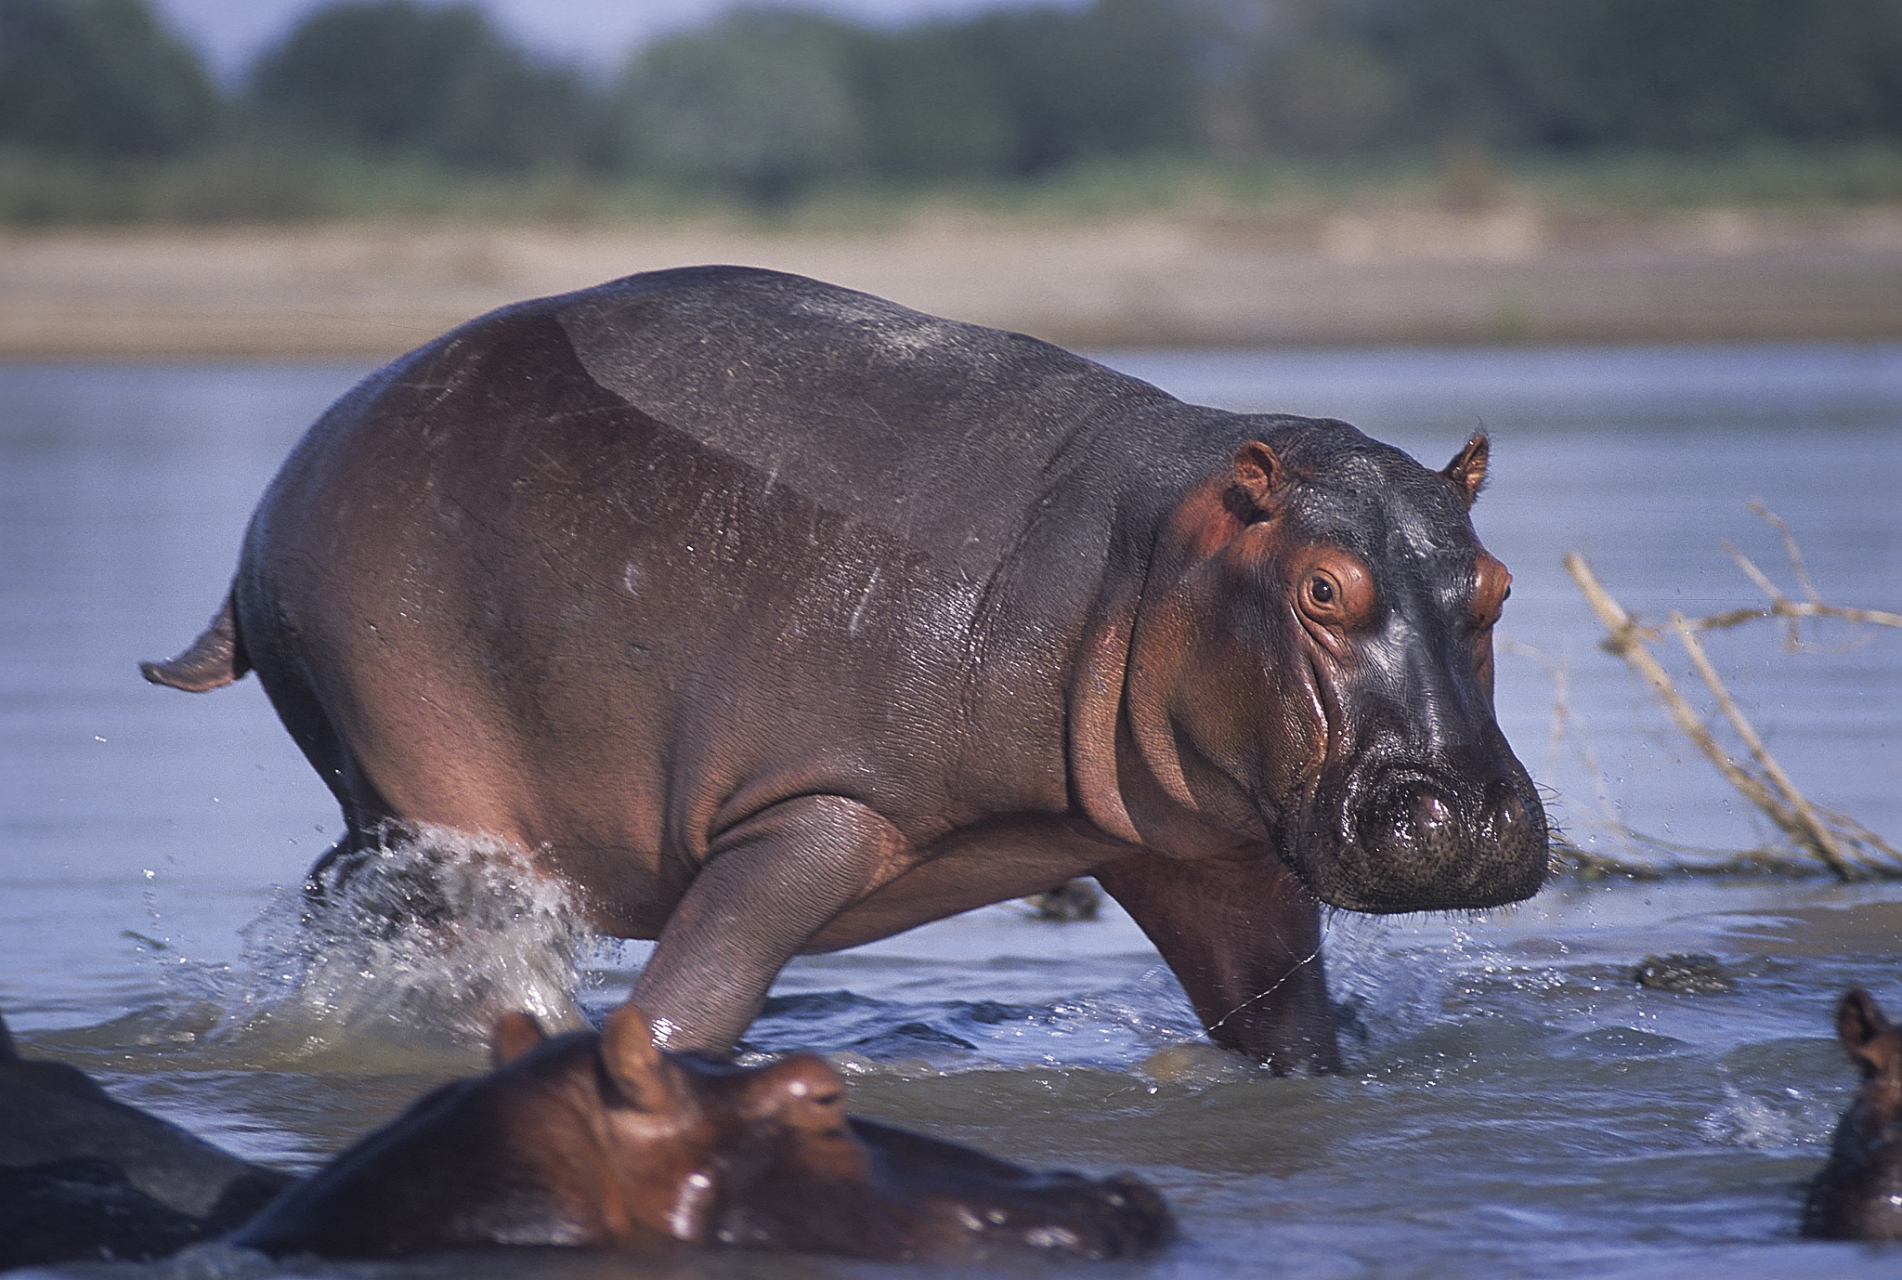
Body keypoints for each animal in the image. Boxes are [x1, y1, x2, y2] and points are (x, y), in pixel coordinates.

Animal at [144, 264, 1544, 1072]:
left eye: (1496, 585)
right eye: (1322, 588)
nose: (1471, 811)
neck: (1143, 551)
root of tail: (285, 487)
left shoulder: (1207, 851)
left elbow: (1286, 1029)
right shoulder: (815, 812)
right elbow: (682, 1014)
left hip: (379, 807)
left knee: (342, 895)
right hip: (432, 786)